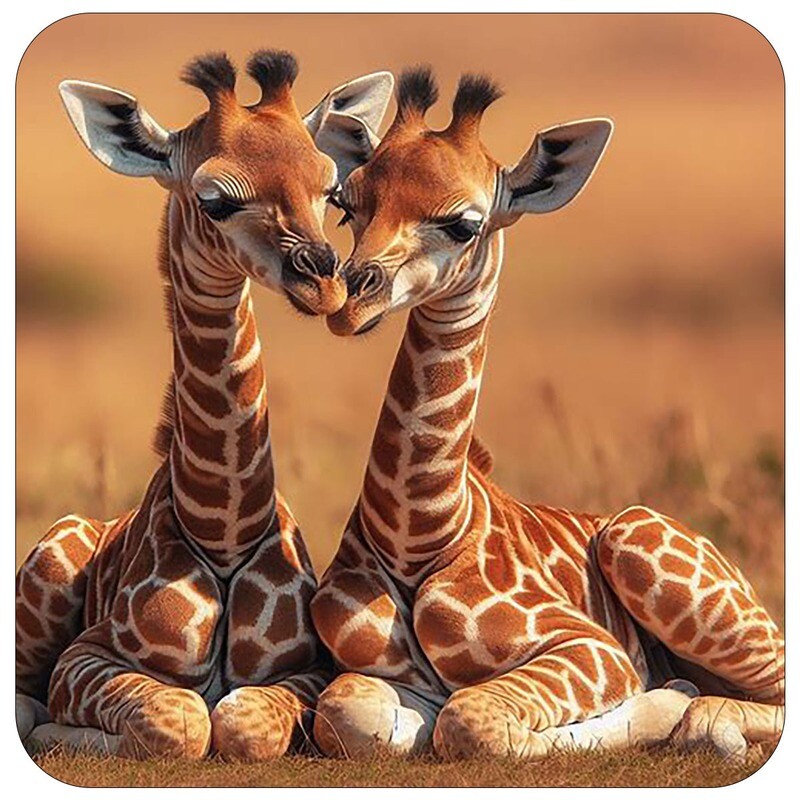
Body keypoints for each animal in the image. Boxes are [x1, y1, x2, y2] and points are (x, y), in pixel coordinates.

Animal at [15, 51, 394, 760]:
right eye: (215, 200)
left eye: (330, 191)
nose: (326, 282)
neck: (223, 530)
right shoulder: (87, 655)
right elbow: (181, 718)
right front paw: (72, 732)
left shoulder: (307, 667)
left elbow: (241, 722)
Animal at [309, 67, 784, 762]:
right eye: (347, 204)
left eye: (463, 224)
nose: (349, 301)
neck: (419, 533)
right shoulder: (373, 673)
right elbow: (349, 712)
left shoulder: (592, 648)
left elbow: (473, 720)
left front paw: (665, 703)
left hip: (650, 551)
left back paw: (707, 720)